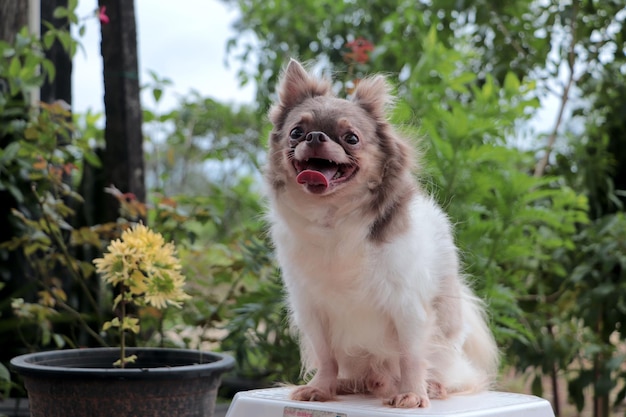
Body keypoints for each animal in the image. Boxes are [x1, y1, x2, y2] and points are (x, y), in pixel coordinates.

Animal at [264, 60, 498, 408]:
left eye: (351, 138)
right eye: (296, 132)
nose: (316, 136)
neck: (332, 216)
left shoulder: (408, 307)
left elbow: (411, 356)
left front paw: (412, 393)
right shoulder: (312, 310)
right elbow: (327, 355)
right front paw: (322, 387)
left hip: (447, 338)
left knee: (452, 373)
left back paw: (432, 386)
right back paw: (352, 383)